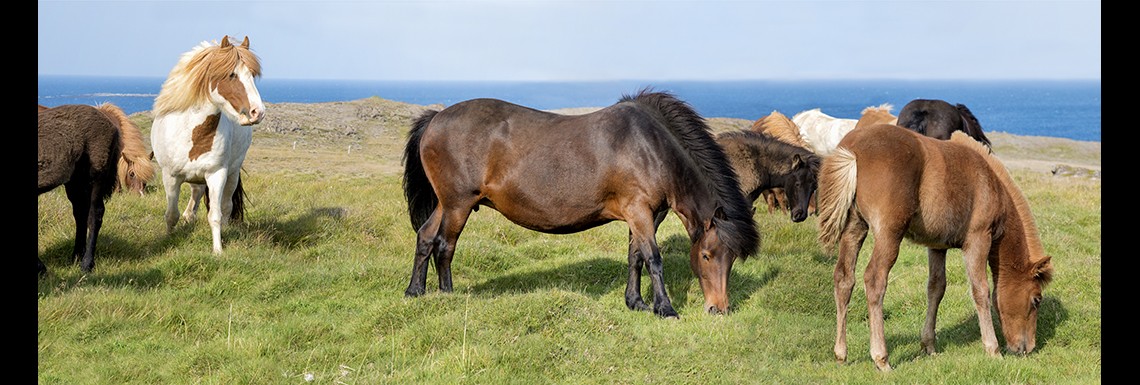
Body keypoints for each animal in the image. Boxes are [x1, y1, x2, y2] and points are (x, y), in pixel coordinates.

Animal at [39, 103, 124, 275]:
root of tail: (111, 124)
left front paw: (41, 268)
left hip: (97, 170)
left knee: (94, 213)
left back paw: (87, 263)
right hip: (75, 179)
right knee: (80, 213)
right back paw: (77, 256)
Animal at [149, 35, 266, 252]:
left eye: (252, 75)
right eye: (232, 75)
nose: (257, 112)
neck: (192, 133)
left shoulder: (216, 174)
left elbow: (216, 215)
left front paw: (218, 250)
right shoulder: (170, 176)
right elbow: (171, 214)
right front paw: (168, 240)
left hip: (231, 174)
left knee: (226, 207)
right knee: (193, 201)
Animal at [405, 89, 761, 316]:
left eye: (732, 259)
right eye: (706, 255)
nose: (719, 309)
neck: (652, 146)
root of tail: (435, 118)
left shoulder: (645, 215)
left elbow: (635, 257)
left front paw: (636, 303)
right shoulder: (639, 212)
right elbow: (653, 259)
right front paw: (665, 308)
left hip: (445, 203)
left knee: (425, 237)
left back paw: (415, 291)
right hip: (458, 205)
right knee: (444, 245)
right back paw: (447, 294)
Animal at [816, 122, 1053, 369]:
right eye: (1036, 299)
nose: (1027, 348)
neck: (990, 185)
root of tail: (854, 148)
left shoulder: (937, 246)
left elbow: (936, 288)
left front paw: (929, 346)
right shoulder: (978, 239)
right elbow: (981, 290)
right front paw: (993, 349)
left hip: (854, 227)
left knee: (844, 278)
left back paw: (841, 354)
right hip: (889, 233)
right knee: (874, 280)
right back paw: (881, 358)